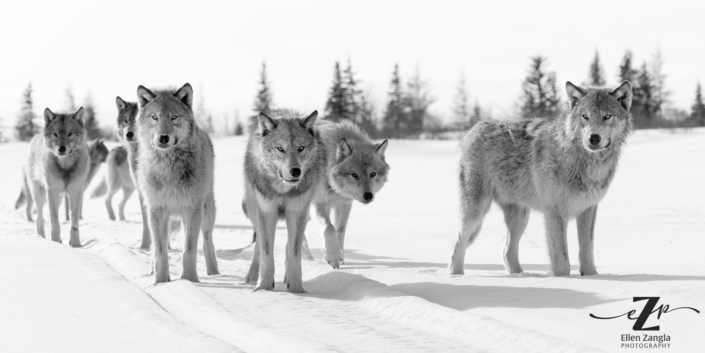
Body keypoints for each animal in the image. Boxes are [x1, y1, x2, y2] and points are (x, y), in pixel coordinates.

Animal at [16, 106, 89, 245]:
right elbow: (55, 223)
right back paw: (42, 238)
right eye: (55, 134)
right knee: (39, 219)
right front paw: (55, 243)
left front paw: (76, 245)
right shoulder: (52, 192)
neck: (65, 166)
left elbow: (74, 223)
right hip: (40, 196)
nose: (62, 148)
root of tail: (35, 137)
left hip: (58, 199)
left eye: (70, 133)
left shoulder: (76, 192)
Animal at [134, 83, 217, 284]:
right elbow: (160, 250)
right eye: (154, 117)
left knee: (207, 241)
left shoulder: (192, 209)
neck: (168, 168)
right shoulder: (156, 210)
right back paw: (151, 270)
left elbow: (189, 249)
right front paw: (160, 282)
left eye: (174, 117)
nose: (163, 137)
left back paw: (214, 273)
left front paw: (190, 280)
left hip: (206, 211)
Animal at [243, 109, 326, 292]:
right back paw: (252, 276)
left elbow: (295, 254)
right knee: (258, 245)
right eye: (280, 149)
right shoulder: (267, 212)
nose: (295, 171)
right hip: (253, 211)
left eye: (301, 148)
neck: (283, 190)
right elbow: (266, 253)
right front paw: (264, 288)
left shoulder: (296, 212)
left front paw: (296, 289)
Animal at [312, 118, 390, 266]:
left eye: (373, 174)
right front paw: (333, 256)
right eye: (354, 175)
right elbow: (329, 228)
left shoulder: (344, 204)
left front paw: (339, 257)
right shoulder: (318, 203)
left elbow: (340, 231)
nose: (368, 195)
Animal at [448, 81, 636, 276]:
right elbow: (562, 262)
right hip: (476, 212)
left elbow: (587, 252)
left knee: (507, 252)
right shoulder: (554, 213)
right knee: (458, 243)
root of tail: (473, 129)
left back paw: (520, 276)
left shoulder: (588, 209)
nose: (594, 138)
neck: (585, 162)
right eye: (585, 116)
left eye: (607, 116)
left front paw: (592, 277)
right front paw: (562, 279)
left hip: (520, 218)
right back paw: (457, 275)